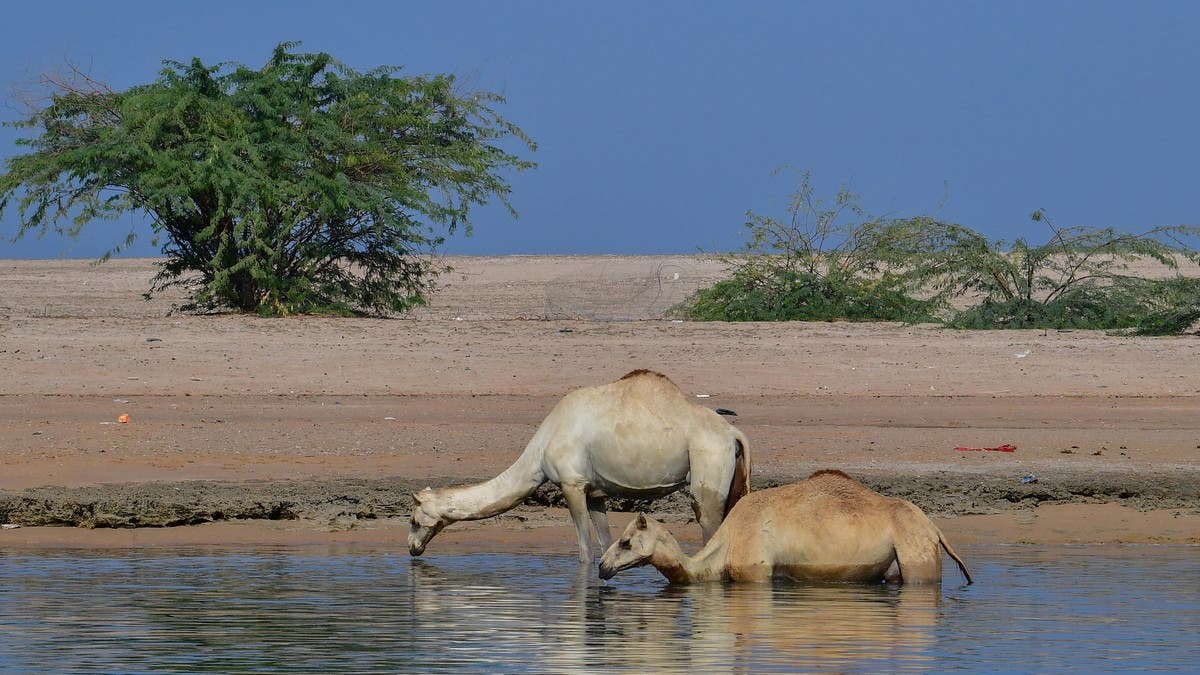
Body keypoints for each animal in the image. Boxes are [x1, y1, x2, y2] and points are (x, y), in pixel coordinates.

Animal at [412, 369, 748, 559]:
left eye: (414, 520)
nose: (412, 548)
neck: (540, 449)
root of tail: (733, 434)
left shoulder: (571, 483)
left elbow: (585, 551)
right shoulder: (596, 492)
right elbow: (604, 545)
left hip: (708, 467)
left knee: (709, 523)